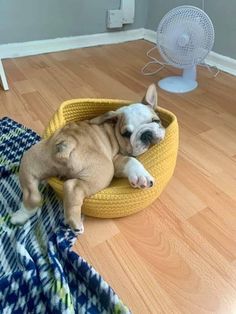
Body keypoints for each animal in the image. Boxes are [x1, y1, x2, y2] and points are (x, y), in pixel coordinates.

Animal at [10, 84, 164, 232]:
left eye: (156, 121)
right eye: (126, 134)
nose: (146, 134)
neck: (113, 130)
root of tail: (67, 142)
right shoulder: (116, 159)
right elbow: (131, 160)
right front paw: (141, 176)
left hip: (30, 160)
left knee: (32, 195)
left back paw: (20, 216)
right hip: (104, 170)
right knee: (73, 186)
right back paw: (75, 223)